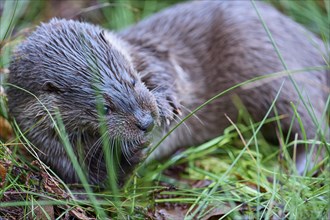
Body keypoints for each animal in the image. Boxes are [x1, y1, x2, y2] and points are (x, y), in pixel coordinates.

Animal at [6, 1, 328, 186]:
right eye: (104, 108)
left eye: (133, 81)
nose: (146, 122)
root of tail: (315, 42)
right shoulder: (45, 145)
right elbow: (93, 179)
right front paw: (132, 154)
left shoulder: (149, 51)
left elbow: (167, 71)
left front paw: (166, 103)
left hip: (276, 73)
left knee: (312, 127)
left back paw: (293, 174)